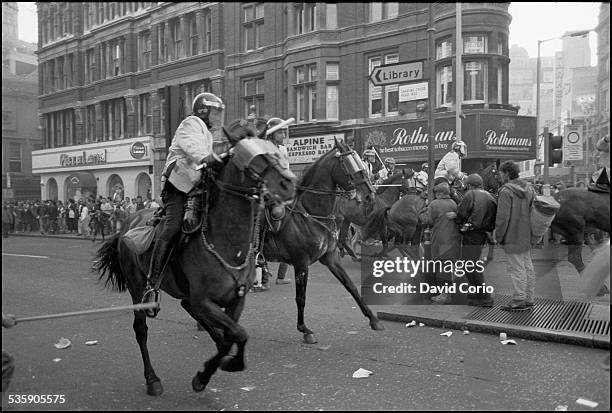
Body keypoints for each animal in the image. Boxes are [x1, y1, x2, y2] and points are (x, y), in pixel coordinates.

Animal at [92, 134, 298, 394]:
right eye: (253, 158)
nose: (288, 183)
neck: (227, 243)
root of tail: (126, 224)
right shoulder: (204, 300)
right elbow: (239, 334)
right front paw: (224, 367)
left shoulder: (235, 299)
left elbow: (233, 335)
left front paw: (207, 373)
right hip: (137, 289)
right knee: (141, 330)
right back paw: (152, 379)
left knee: (190, 309)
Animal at [262, 140, 382, 342]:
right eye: (349, 165)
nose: (370, 195)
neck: (311, 213)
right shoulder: (301, 263)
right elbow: (301, 298)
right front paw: (304, 329)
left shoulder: (330, 258)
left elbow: (351, 286)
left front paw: (373, 319)